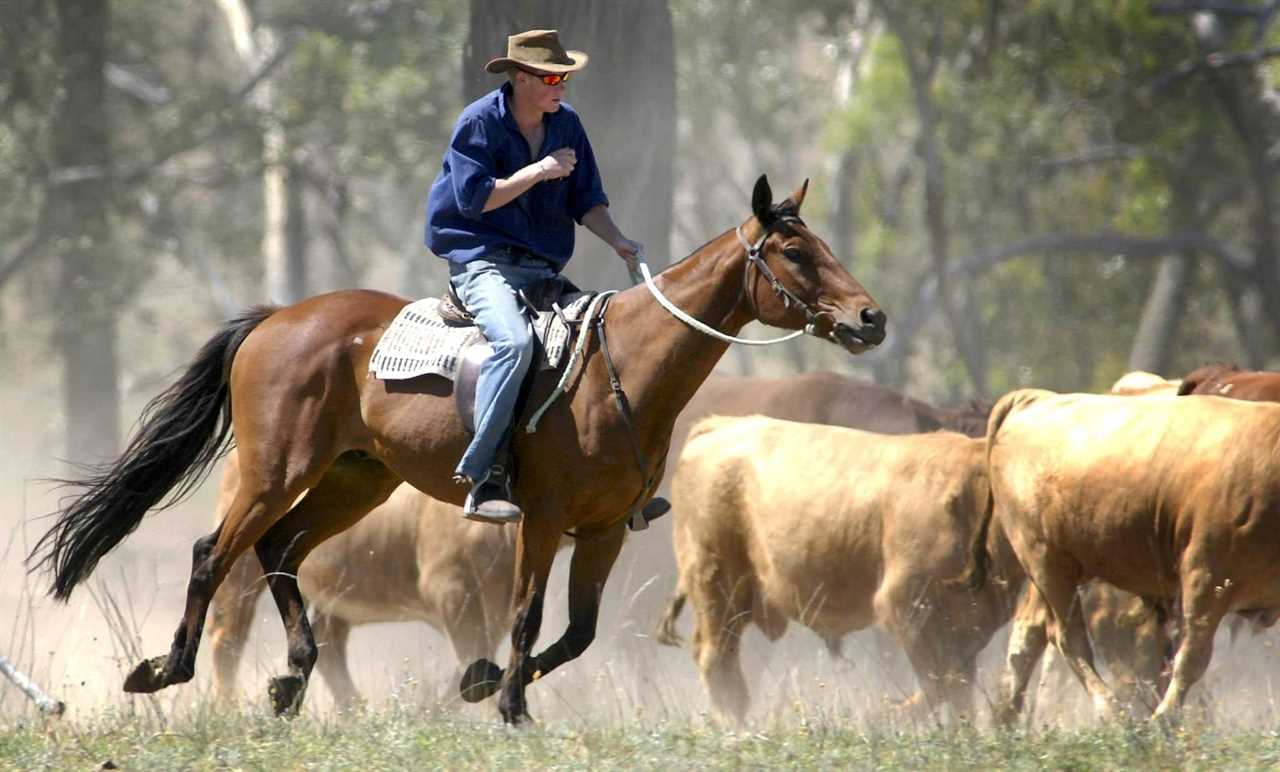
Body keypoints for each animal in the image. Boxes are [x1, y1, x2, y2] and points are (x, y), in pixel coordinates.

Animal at [207, 450, 517, 711]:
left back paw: (354, 710)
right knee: (228, 634)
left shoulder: (497, 612)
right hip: (242, 567)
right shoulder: (452, 590)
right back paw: (227, 707)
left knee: (327, 642)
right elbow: (475, 665)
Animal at [650, 417, 1018, 727]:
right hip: (717, 583)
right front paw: (883, 718)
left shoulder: (969, 629)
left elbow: (959, 692)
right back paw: (737, 733)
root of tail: (720, 425)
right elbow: (940, 683)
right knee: (718, 664)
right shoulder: (909, 607)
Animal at [962, 391, 1280, 727]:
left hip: (1058, 567)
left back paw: (1005, 720)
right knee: (1067, 637)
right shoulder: (1206, 576)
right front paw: (1163, 719)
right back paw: (1112, 713)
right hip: (1046, 562)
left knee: (1028, 636)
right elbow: (1192, 658)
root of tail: (1035, 398)